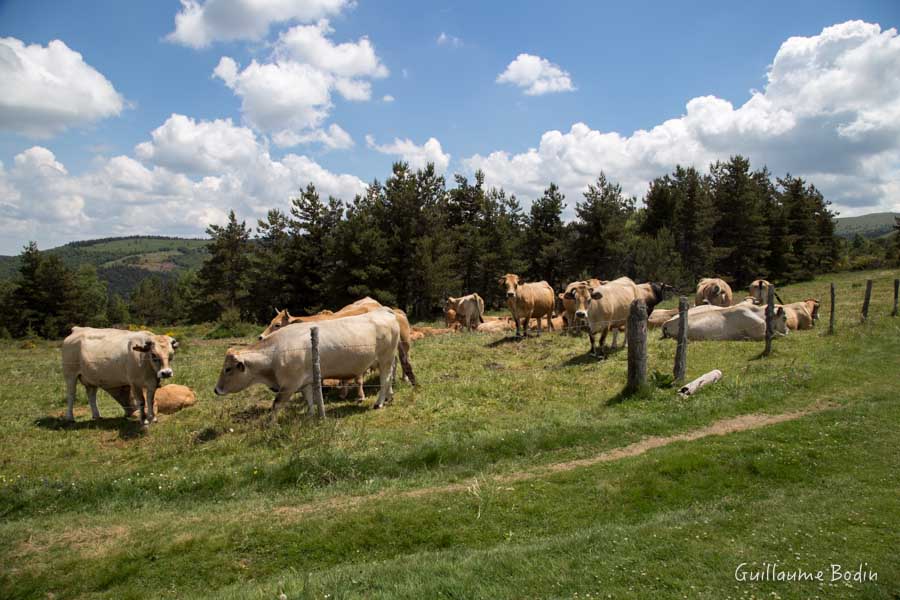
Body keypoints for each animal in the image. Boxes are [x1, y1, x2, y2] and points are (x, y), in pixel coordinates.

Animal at [213, 310, 400, 412]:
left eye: (228, 369)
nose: (216, 389)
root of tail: (384, 311)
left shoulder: (289, 384)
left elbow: (276, 405)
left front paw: (271, 426)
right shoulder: (305, 381)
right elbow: (310, 399)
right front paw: (311, 417)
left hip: (385, 359)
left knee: (385, 380)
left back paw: (379, 403)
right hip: (386, 361)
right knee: (389, 378)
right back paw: (389, 397)